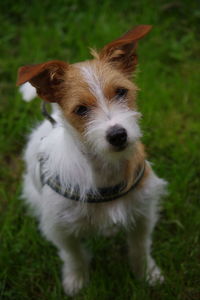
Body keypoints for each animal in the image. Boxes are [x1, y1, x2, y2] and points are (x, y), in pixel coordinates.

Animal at [17, 25, 167, 296]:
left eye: (121, 92)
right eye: (81, 110)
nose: (118, 135)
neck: (105, 171)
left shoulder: (142, 212)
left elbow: (140, 248)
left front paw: (148, 274)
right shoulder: (60, 228)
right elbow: (73, 255)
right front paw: (76, 280)